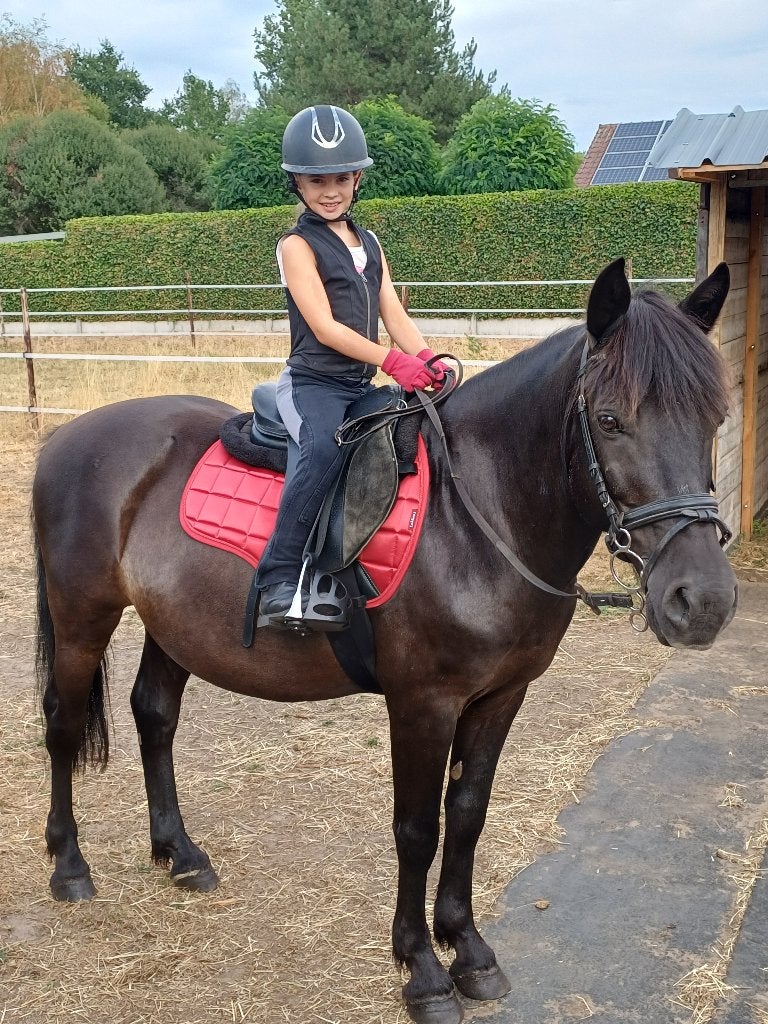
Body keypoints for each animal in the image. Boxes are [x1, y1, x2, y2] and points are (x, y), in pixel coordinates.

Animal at [32, 259, 736, 1024]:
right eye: (609, 420)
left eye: (715, 417)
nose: (702, 602)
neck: (475, 514)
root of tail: (65, 439)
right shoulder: (423, 702)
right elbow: (417, 829)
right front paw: (423, 970)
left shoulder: (502, 695)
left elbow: (468, 814)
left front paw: (470, 950)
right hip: (82, 618)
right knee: (63, 726)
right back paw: (69, 867)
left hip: (175, 626)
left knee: (154, 715)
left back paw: (181, 855)